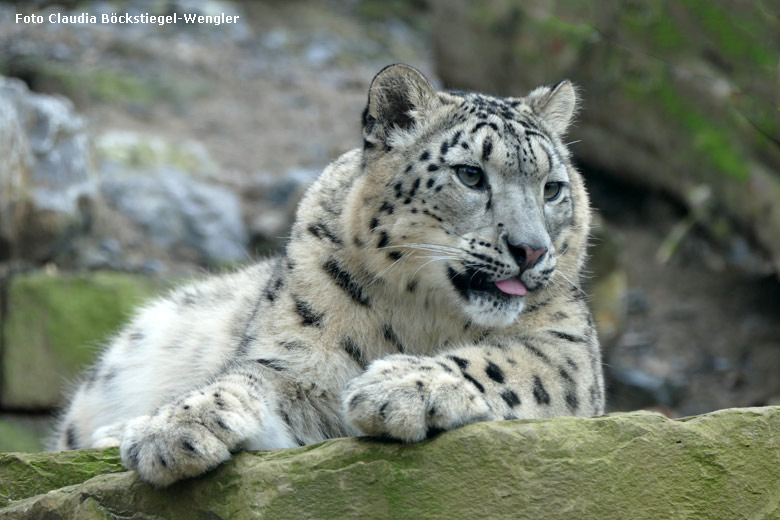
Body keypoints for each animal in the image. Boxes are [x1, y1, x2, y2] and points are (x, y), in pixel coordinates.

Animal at [53, 63, 604, 486]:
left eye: (552, 188)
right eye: (470, 174)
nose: (531, 249)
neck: (424, 312)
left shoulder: (568, 351)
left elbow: (507, 362)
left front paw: (402, 386)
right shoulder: (297, 360)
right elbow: (247, 377)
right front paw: (171, 427)